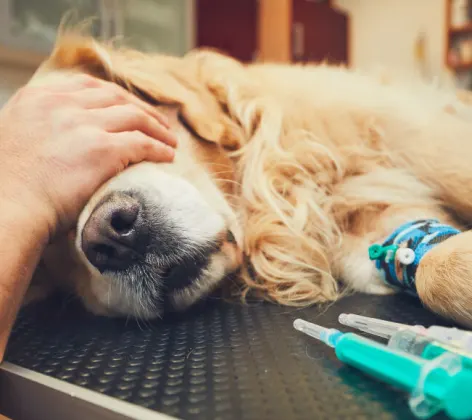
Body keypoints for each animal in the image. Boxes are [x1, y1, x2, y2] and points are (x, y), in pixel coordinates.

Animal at [23, 32, 472, 328]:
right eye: (46, 243)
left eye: (114, 131)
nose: (111, 238)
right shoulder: (367, 241)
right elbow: (428, 266)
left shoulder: (431, 141)